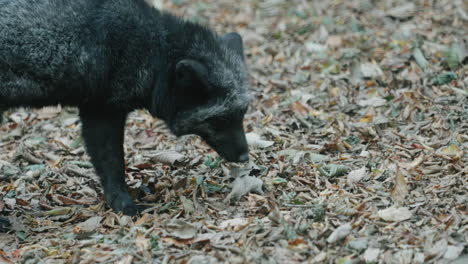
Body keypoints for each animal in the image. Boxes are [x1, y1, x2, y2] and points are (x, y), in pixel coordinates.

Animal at [0, 0, 250, 214]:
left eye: (242, 114)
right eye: (219, 120)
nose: (245, 157)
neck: (154, 50)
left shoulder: (96, 109)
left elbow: (108, 165)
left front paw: (117, 200)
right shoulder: (104, 112)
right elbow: (113, 163)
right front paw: (124, 204)